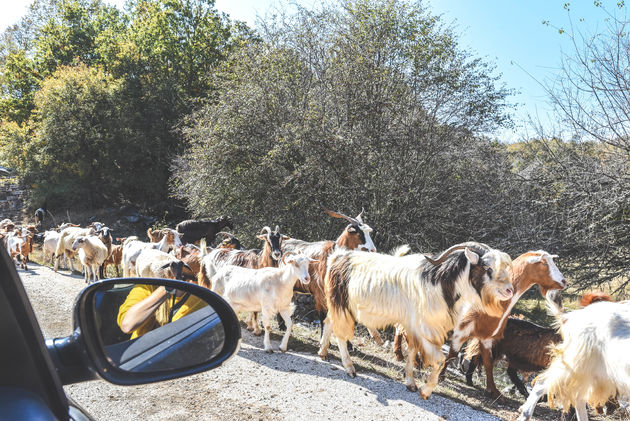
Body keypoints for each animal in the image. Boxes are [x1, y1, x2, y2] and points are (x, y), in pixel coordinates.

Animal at [320, 243, 512, 398]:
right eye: (487, 268)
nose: (509, 290)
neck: (439, 284)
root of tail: (338, 257)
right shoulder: (424, 328)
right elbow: (440, 359)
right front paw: (425, 391)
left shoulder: (414, 327)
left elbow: (412, 352)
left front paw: (411, 384)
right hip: (341, 303)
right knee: (340, 334)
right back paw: (349, 368)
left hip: (338, 304)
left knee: (328, 322)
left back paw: (322, 352)